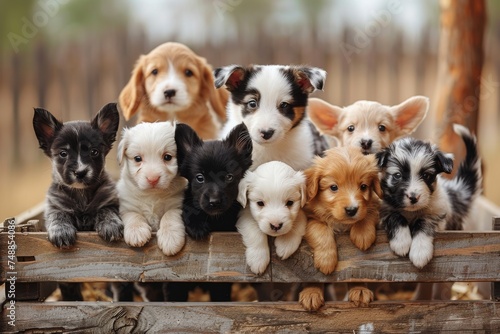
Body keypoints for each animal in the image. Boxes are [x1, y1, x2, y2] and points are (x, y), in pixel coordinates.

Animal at [32, 103, 123, 300]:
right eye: (63, 153)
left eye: (94, 152)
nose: (80, 172)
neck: (81, 195)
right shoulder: (55, 206)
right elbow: (58, 216)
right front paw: (61, 231)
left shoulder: (110, 201)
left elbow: (106, 210)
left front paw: (110, 225)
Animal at [116, 121, 187, 254]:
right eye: (137, 158)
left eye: (167, 157)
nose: (153, 179)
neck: (152, 195)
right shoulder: (126, 206)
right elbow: (133, 215)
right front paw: (136, 231)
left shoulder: (178, 204)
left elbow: (170, 214)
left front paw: (170, 237)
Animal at [167, 123, 254, 302]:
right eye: (200, 178)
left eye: (229, 177)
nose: (214, 201)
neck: (215, 219)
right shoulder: (175, 286)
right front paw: (197, 226)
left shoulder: (220, 285)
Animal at [296, 147, 382, 310]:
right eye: (333, 187)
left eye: (363, 187)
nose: (352, 210)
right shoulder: (308, 218)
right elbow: (320, 229)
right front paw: (325, 262)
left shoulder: (374, 206)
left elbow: (367, 216)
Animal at [376, 124, 482, 268]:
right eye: (398, 175)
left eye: (426, 175)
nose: (414, 197)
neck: (410, 212)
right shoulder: (383, 209)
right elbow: (394, 216)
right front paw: (401, 242)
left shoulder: (438, 213)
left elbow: (423, 221)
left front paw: (420, 252)